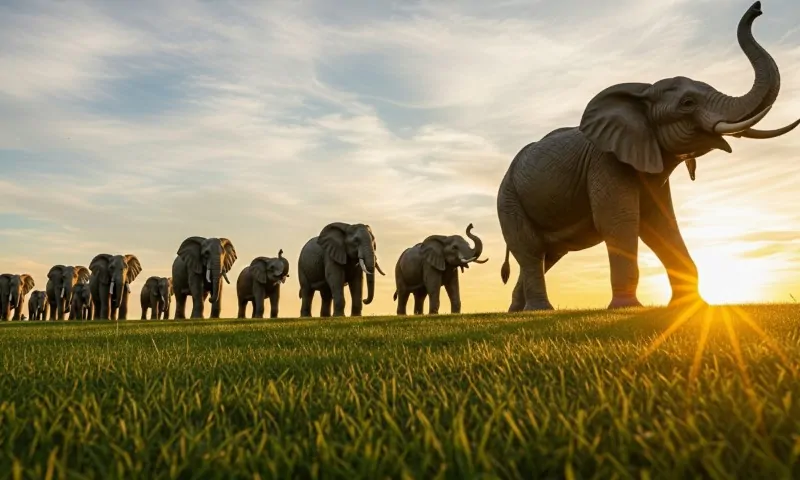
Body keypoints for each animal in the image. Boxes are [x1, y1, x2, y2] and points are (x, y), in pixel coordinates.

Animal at [496, 1, 799, 312]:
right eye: (688, 103)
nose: (758, 8)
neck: (643, 92)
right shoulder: (607, 162)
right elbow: (620, 222)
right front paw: (627, 308)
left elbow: (661, 225)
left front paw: (691, 309)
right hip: (508, 198)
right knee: (531, 250)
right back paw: (538, 310)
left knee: (548, 254)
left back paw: (518, 312)